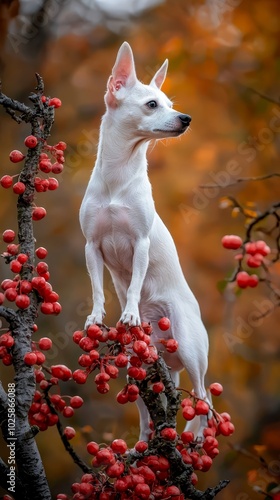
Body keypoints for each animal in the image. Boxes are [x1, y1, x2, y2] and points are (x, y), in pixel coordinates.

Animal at [80, 44, 209, 442]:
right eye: (153, 104)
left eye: (170, 103)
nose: (186, 118)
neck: (118, 176)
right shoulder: (92, 247)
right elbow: (97, 288)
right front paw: (96, 315)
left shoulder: (140, 244)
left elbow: (135, 284)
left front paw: (131, 312)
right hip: (138, 370)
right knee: (147, 412)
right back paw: (143, 442)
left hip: (189, 346)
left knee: (203, 397)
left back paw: (197, 435)